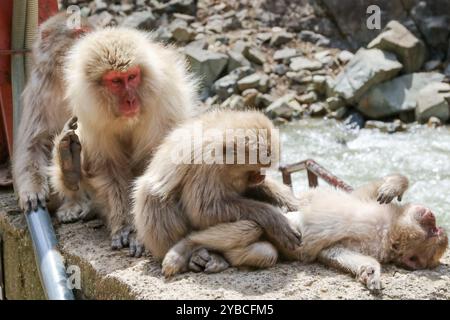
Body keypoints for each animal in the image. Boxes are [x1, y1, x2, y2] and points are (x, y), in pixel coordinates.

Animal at [48, 27, 199, 254]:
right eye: (116, 82)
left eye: (132, 76)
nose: (130, 100)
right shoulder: (91, 112)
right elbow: (108, 167)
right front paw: (123, 225)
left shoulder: (163, 103)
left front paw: (139, 235)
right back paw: (69, 167)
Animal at [134, 109, 302, 272]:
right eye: (255, 169)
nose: (261, 176)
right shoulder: (206, 165)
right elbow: (204, 211)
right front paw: (276, 219)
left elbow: (253, 189)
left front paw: (293, 203)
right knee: (154, 196)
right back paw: (195, 256)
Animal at [161, 174, 446, 292]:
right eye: (434, 229)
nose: (436, 220)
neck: (388, 228)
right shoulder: (367, 202)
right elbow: (370, 190)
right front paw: (394, 186)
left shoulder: (371, 245)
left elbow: (335, 252)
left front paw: (370, 272)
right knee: (252, 225)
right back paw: (182, 249)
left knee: (265, 250)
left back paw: (213, 258)